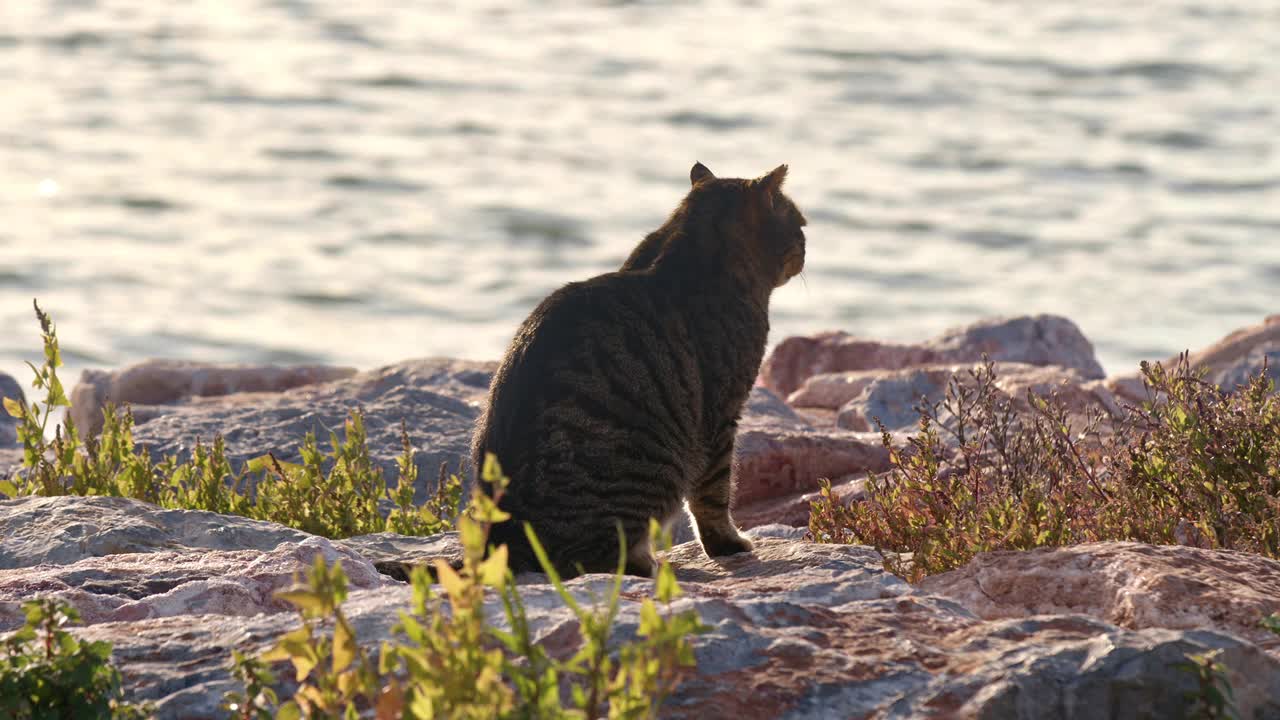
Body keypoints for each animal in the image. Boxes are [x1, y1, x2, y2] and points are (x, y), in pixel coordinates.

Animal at [471, 159, 808, 573]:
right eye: (800, 224)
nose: (806, 248)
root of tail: (499, 544)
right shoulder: (720, 418)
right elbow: (713, 495)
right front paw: (727, 544)